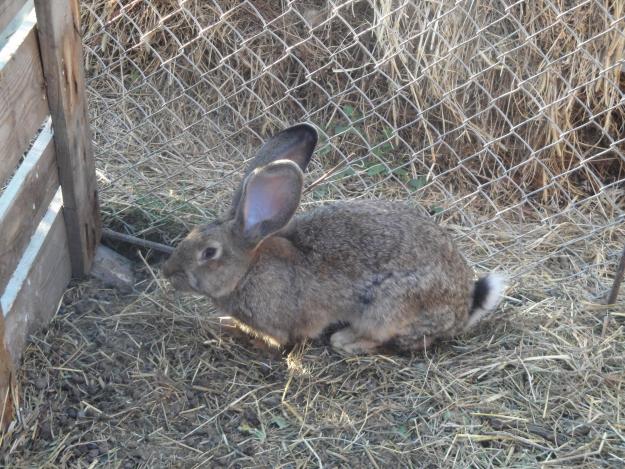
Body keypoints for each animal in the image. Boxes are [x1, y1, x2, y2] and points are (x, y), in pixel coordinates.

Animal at [158, 123, 504, 352]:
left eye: (209, 253)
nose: (168, 272)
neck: (247, 270)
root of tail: (464, 307)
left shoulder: (279, 324)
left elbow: (276, 340)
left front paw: (234, 331)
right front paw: (224, 322)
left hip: (391, 306)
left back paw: (345, 341)